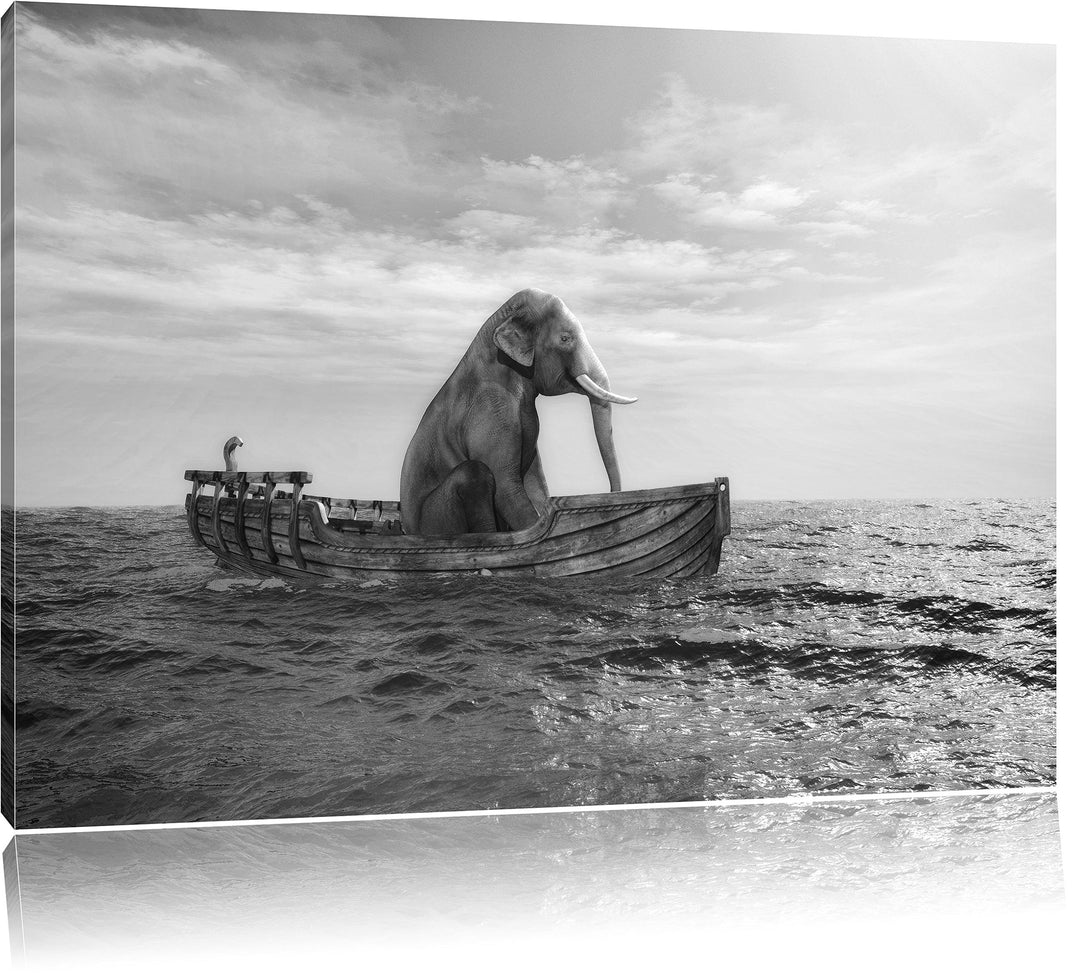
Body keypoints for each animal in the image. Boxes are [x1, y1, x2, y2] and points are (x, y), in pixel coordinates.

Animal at [399, 288, 637, 536]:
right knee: (474, 472)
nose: (612, 495)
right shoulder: (490, 412)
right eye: (565, 338)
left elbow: (535, 483)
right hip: (436, 517)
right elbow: (507, 487)